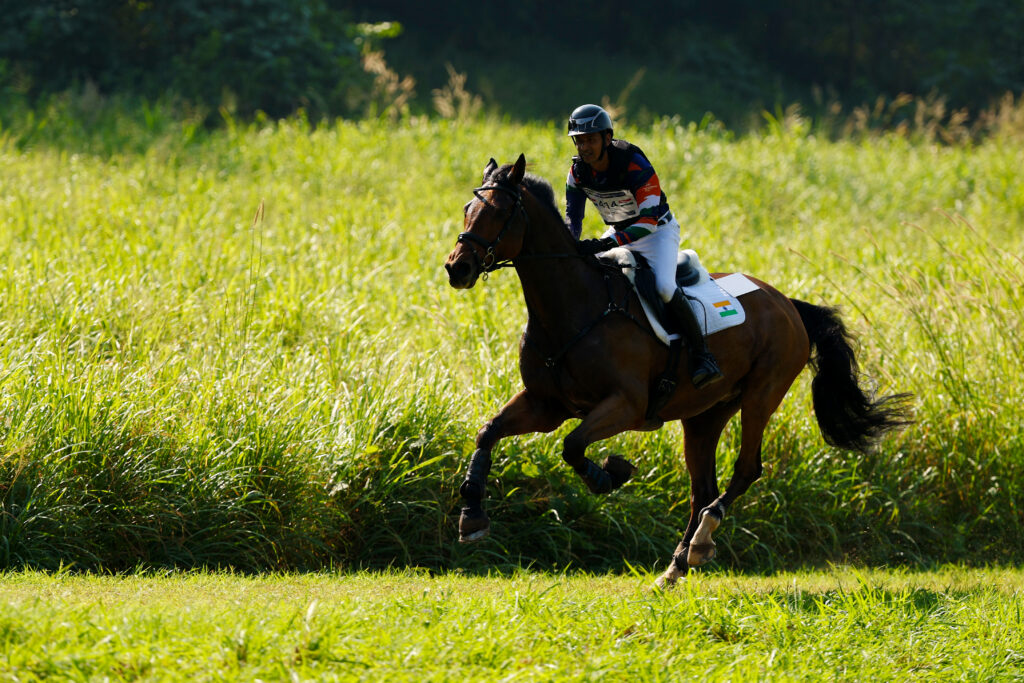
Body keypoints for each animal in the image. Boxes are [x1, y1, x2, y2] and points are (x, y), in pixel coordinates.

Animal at [444, 154, 910, 586]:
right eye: (468, 208)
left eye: (500, 212)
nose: (456, 268)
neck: (573, 308)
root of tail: (788, 304)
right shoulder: (546, 405)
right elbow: (488, 432)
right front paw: (472, 515)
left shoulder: (625, 405)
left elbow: (573, 446)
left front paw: (610, 473)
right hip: (705, 414)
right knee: (702, 487)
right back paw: (676, 565)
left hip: (762, 394)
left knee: (745, 470)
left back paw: (701, 542)